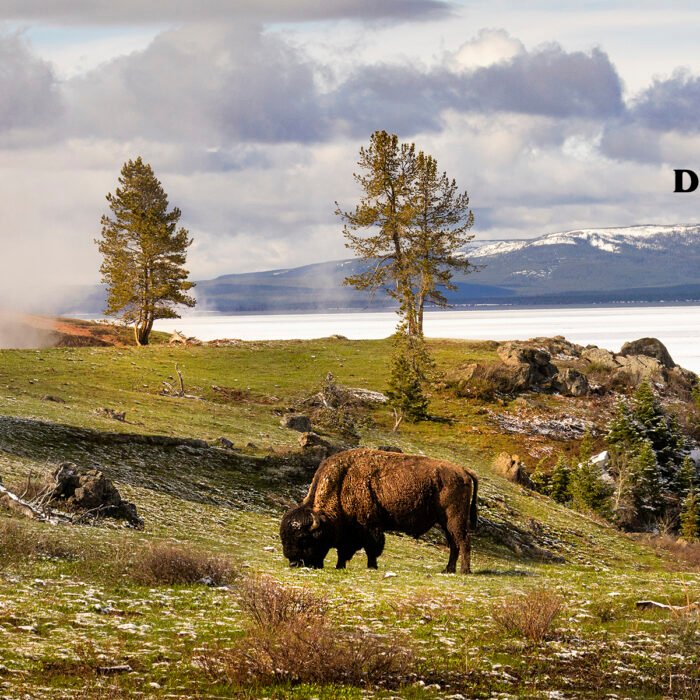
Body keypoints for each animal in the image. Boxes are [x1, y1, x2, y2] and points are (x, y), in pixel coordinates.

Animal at [280, 448, 478, 574]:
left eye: (304, 539)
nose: (294, 563)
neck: (341, 485)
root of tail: (463, 471)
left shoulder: (370, 526)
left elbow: (372, 548)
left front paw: (371, 566)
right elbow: (344, 551)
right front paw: (339, 566)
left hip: (454, 518)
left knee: (463, 541)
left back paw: (464, 571)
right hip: (445, 522)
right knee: (454, 544)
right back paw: (448, 570)